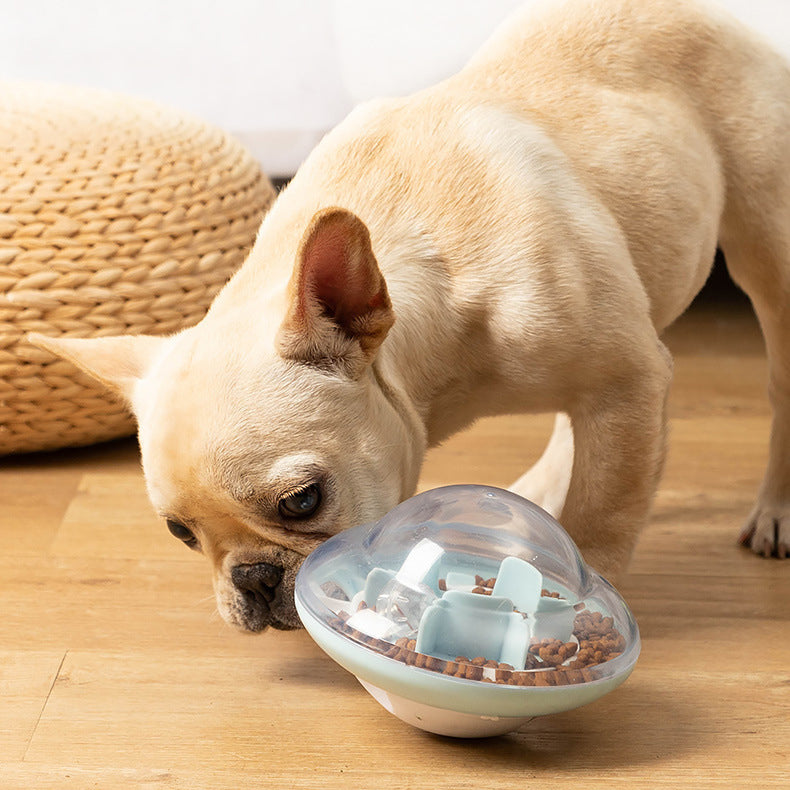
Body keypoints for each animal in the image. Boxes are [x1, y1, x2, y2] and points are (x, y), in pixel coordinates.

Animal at [29, 0, 790, 636]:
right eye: (180, 534)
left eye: (302, 502)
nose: (252, 578)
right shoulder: (615, 378)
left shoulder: (624, 379)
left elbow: (603, 510)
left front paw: (575, 602)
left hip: (767, 244)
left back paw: (773, 511)